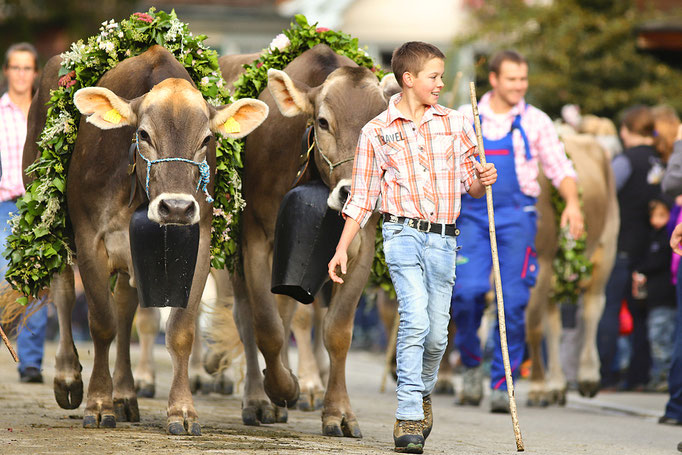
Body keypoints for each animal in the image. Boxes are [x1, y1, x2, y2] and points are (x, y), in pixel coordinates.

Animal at [21, 45, 266, 434]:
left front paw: (182, 410)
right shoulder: (90, 240)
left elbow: (179, 329)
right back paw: (68, 377)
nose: (176, 207)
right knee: (63, 291)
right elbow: (101, 323)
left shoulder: (198, 245)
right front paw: (98, 403)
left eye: (206, 140)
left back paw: (125, 394)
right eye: (144, 134)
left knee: (125, 307)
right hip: (50, 219)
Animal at [218, 43, 398, 438]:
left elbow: (337, 331)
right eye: (323, 122)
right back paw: (259, 398)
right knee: (247, 317)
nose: (353, 192)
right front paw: (283, 389)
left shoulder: (361, 247)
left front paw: (339, 412)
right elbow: (266, 327)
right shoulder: (256, 238)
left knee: (286, 312)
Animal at [524, 134, 620, 404]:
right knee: (554, 324)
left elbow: (532, 325)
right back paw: (557, 384)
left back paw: (588, 377)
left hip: (606, 249)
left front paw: (537, 388)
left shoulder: (540, 265)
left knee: (591, 309)